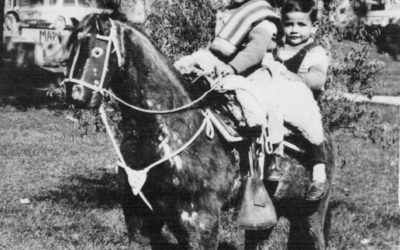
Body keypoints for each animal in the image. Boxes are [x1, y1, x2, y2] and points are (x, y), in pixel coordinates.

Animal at [66, 13, 334, 250]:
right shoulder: (138, 219)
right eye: (70, 51)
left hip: (311, 216)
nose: (76, 95)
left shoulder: (201, 224)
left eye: (97, 51)